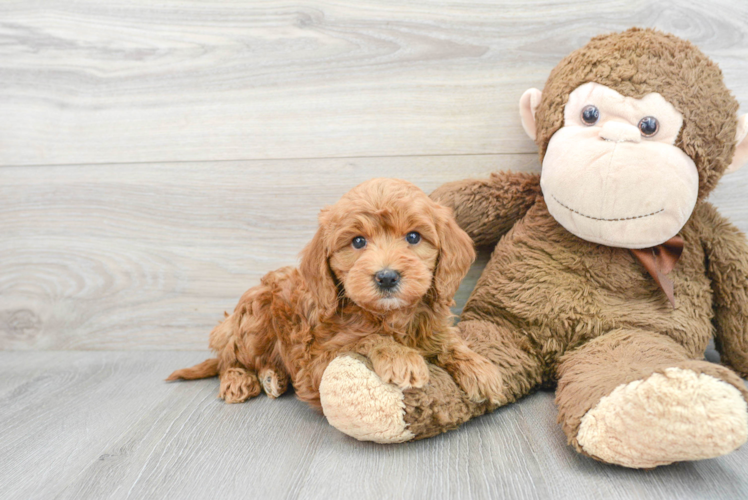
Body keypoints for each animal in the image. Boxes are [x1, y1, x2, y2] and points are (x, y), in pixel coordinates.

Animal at [169, 178, 502, 408]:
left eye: (413, 237)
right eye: (358, 242)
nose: (386, 277)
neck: (389, 316)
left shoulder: (431, 324)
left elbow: (448, 341)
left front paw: (480, 369)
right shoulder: (316, 364)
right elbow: (365, 339)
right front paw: (400, 357)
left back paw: (272, 376)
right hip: (254, 318)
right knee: (229, 358)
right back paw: (239, 379)